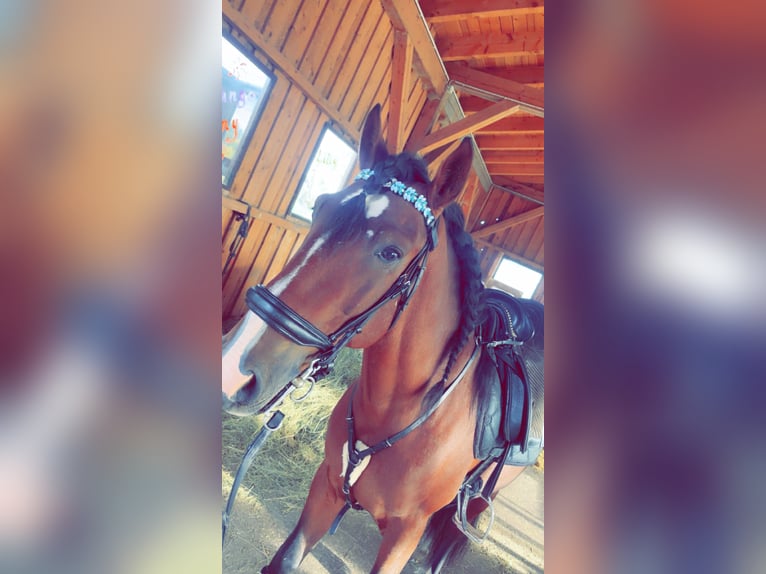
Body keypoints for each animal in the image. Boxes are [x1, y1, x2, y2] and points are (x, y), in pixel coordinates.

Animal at [222, 104, 543, 573]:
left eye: (391, 252)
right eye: (319, 208)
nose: (233, 368)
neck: (406, 412)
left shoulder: (404, 535)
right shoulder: (326, 487)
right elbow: (286, 559)